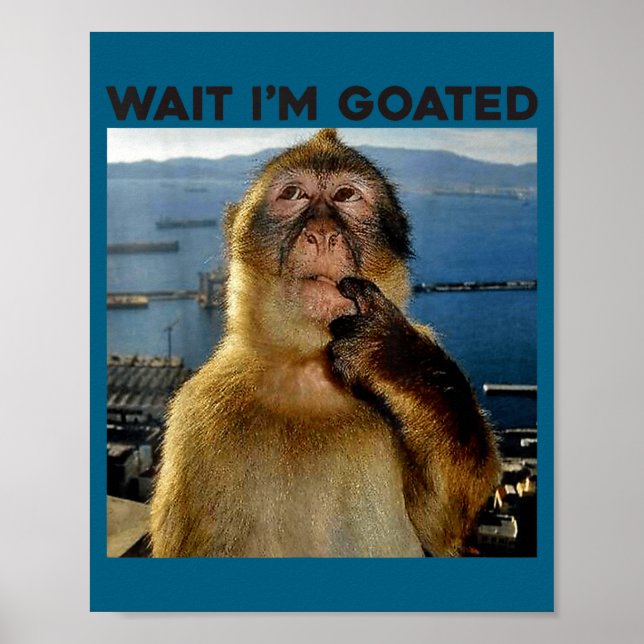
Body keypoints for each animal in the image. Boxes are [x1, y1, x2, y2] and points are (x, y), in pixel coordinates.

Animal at [149, 129, 500, 558]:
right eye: (293, 194)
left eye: (346, 195)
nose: (321, 234)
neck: (308, 367)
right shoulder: (198, 414)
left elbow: (440, 524)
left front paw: (393, 356)